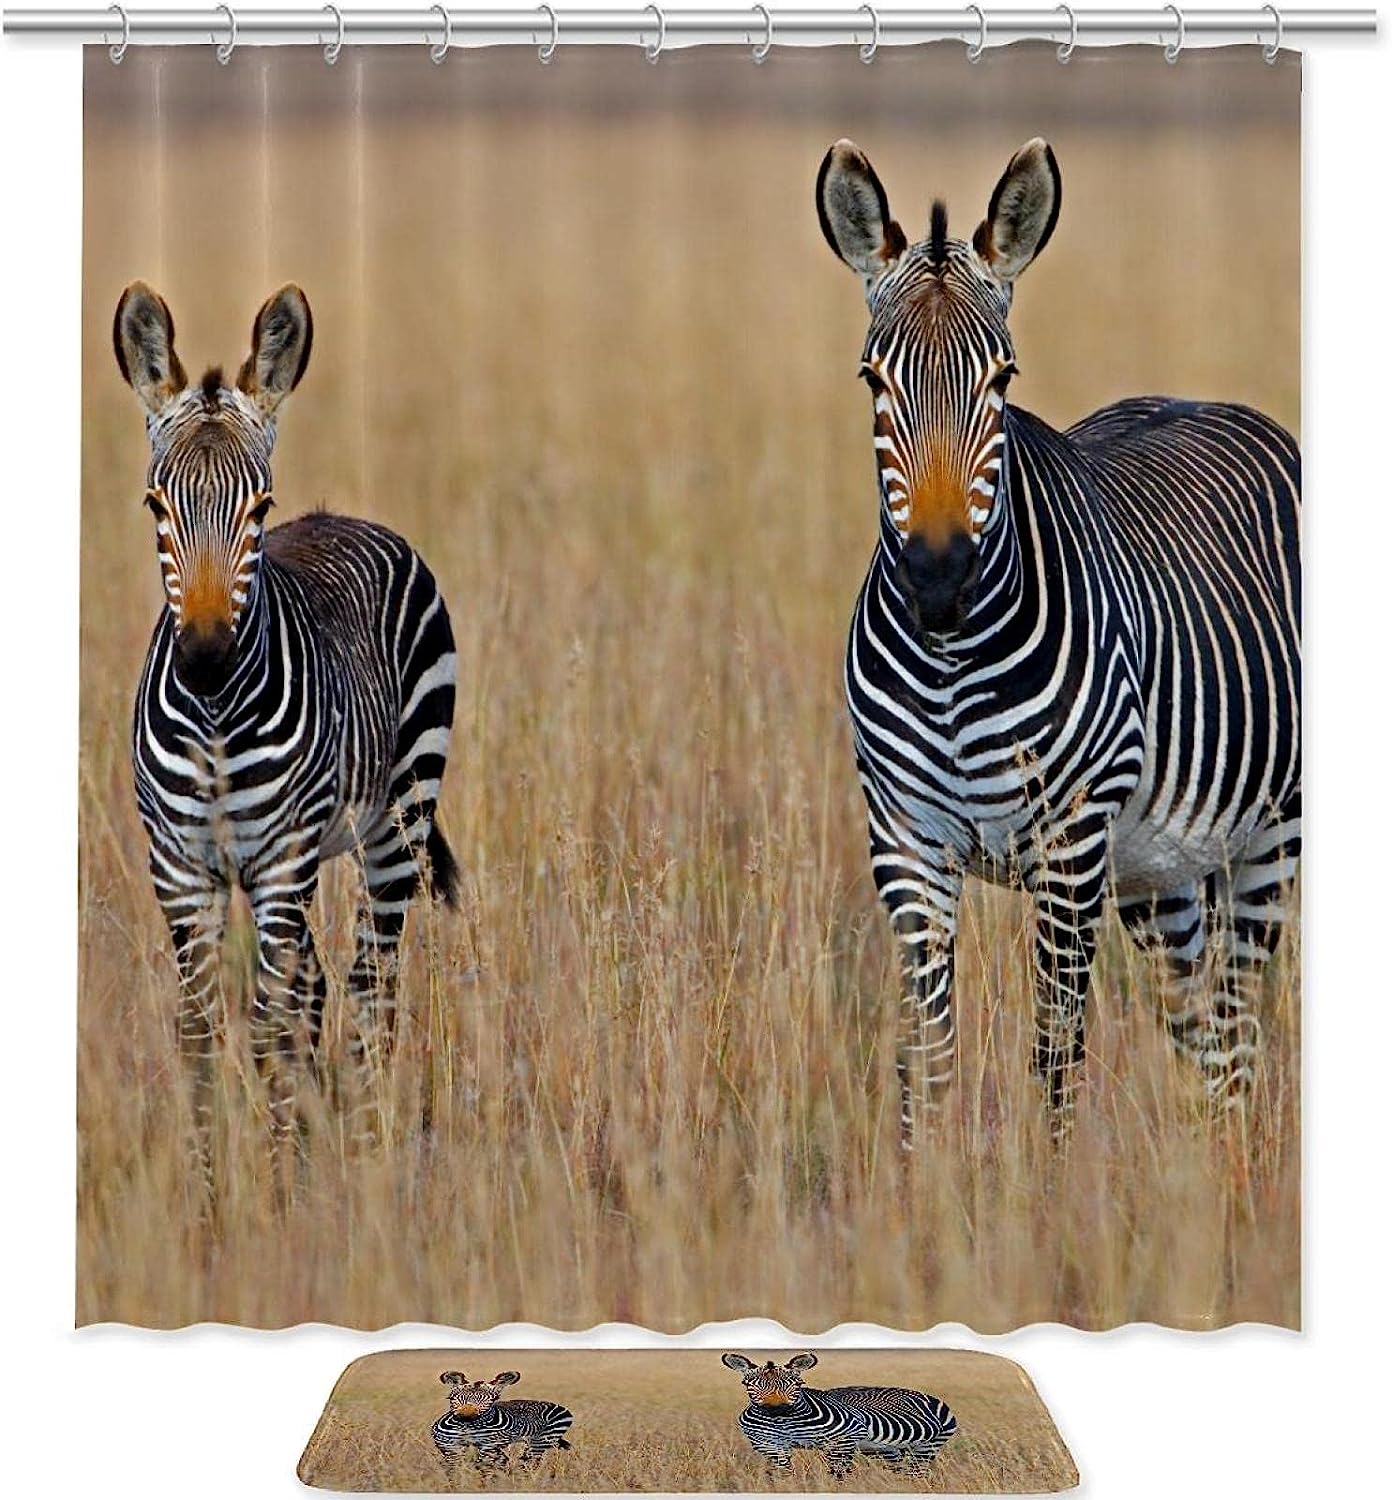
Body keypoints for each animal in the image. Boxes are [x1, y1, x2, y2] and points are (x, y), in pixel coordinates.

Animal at [113, 281, 460, 1190]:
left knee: (371, 989)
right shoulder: (182, 870)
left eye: (259, 508)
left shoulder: (279, 865)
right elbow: (203, 1036)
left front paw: (273, 1200)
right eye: (155, 505)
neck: (214, 721)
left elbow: (268, 1031)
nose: (204, 659)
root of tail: (345, 517)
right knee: (317, 990)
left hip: (395, 826)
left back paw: (368, 1163)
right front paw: (209, 1204)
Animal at [432, 1371, 573, 1479]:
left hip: (541, 1440)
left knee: (529, 1463)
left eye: (493, 1399)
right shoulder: (450, 1447)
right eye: (451, 1398)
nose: (466, 1417)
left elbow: (487, 1468)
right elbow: (454, 1469)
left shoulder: (490, 1446)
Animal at [721, 1353, 956, 1478]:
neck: (784, 1424)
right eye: (747, 1384)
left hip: (927, 1446)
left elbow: (838, 1474)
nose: (776, 1410)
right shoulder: (769, 1444)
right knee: (899, 1471)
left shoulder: (844, 1438)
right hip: (884, 1449)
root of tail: (926, 1395)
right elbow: (785, 1472)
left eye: (798, 1384)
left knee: (916, 1472)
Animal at [816, 138, 1300, 1140]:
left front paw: (1043, 1187)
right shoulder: (904, 844)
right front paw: (923, 1184)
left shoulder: (1071, 846)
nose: (938, 580)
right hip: (1160, 871)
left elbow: (1053, 1060)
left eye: (1002, 378)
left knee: (1238, 1037)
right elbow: (928, 1064)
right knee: (1202, 1034)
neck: (951, 666)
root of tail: (1207, 399)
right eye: (872, 381)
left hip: (1271, 834)